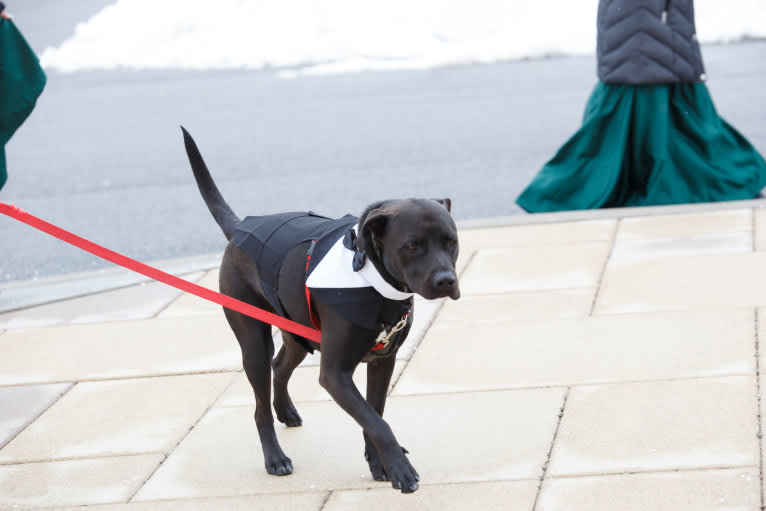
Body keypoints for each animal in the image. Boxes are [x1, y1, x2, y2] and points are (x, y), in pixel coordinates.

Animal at [183, 127, 460, 492]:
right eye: (413, 245)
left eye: (452, 241)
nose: (446, 281)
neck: (375, 283)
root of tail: (240, 227)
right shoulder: (334, 374)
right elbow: (377, 422)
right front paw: (400, 468)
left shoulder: (382, 362)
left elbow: (374, 414)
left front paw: (379, 464)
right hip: (254, 341)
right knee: (260, 404)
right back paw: (275, 458)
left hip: (297, 333)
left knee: (280, 366)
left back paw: (285, 411)